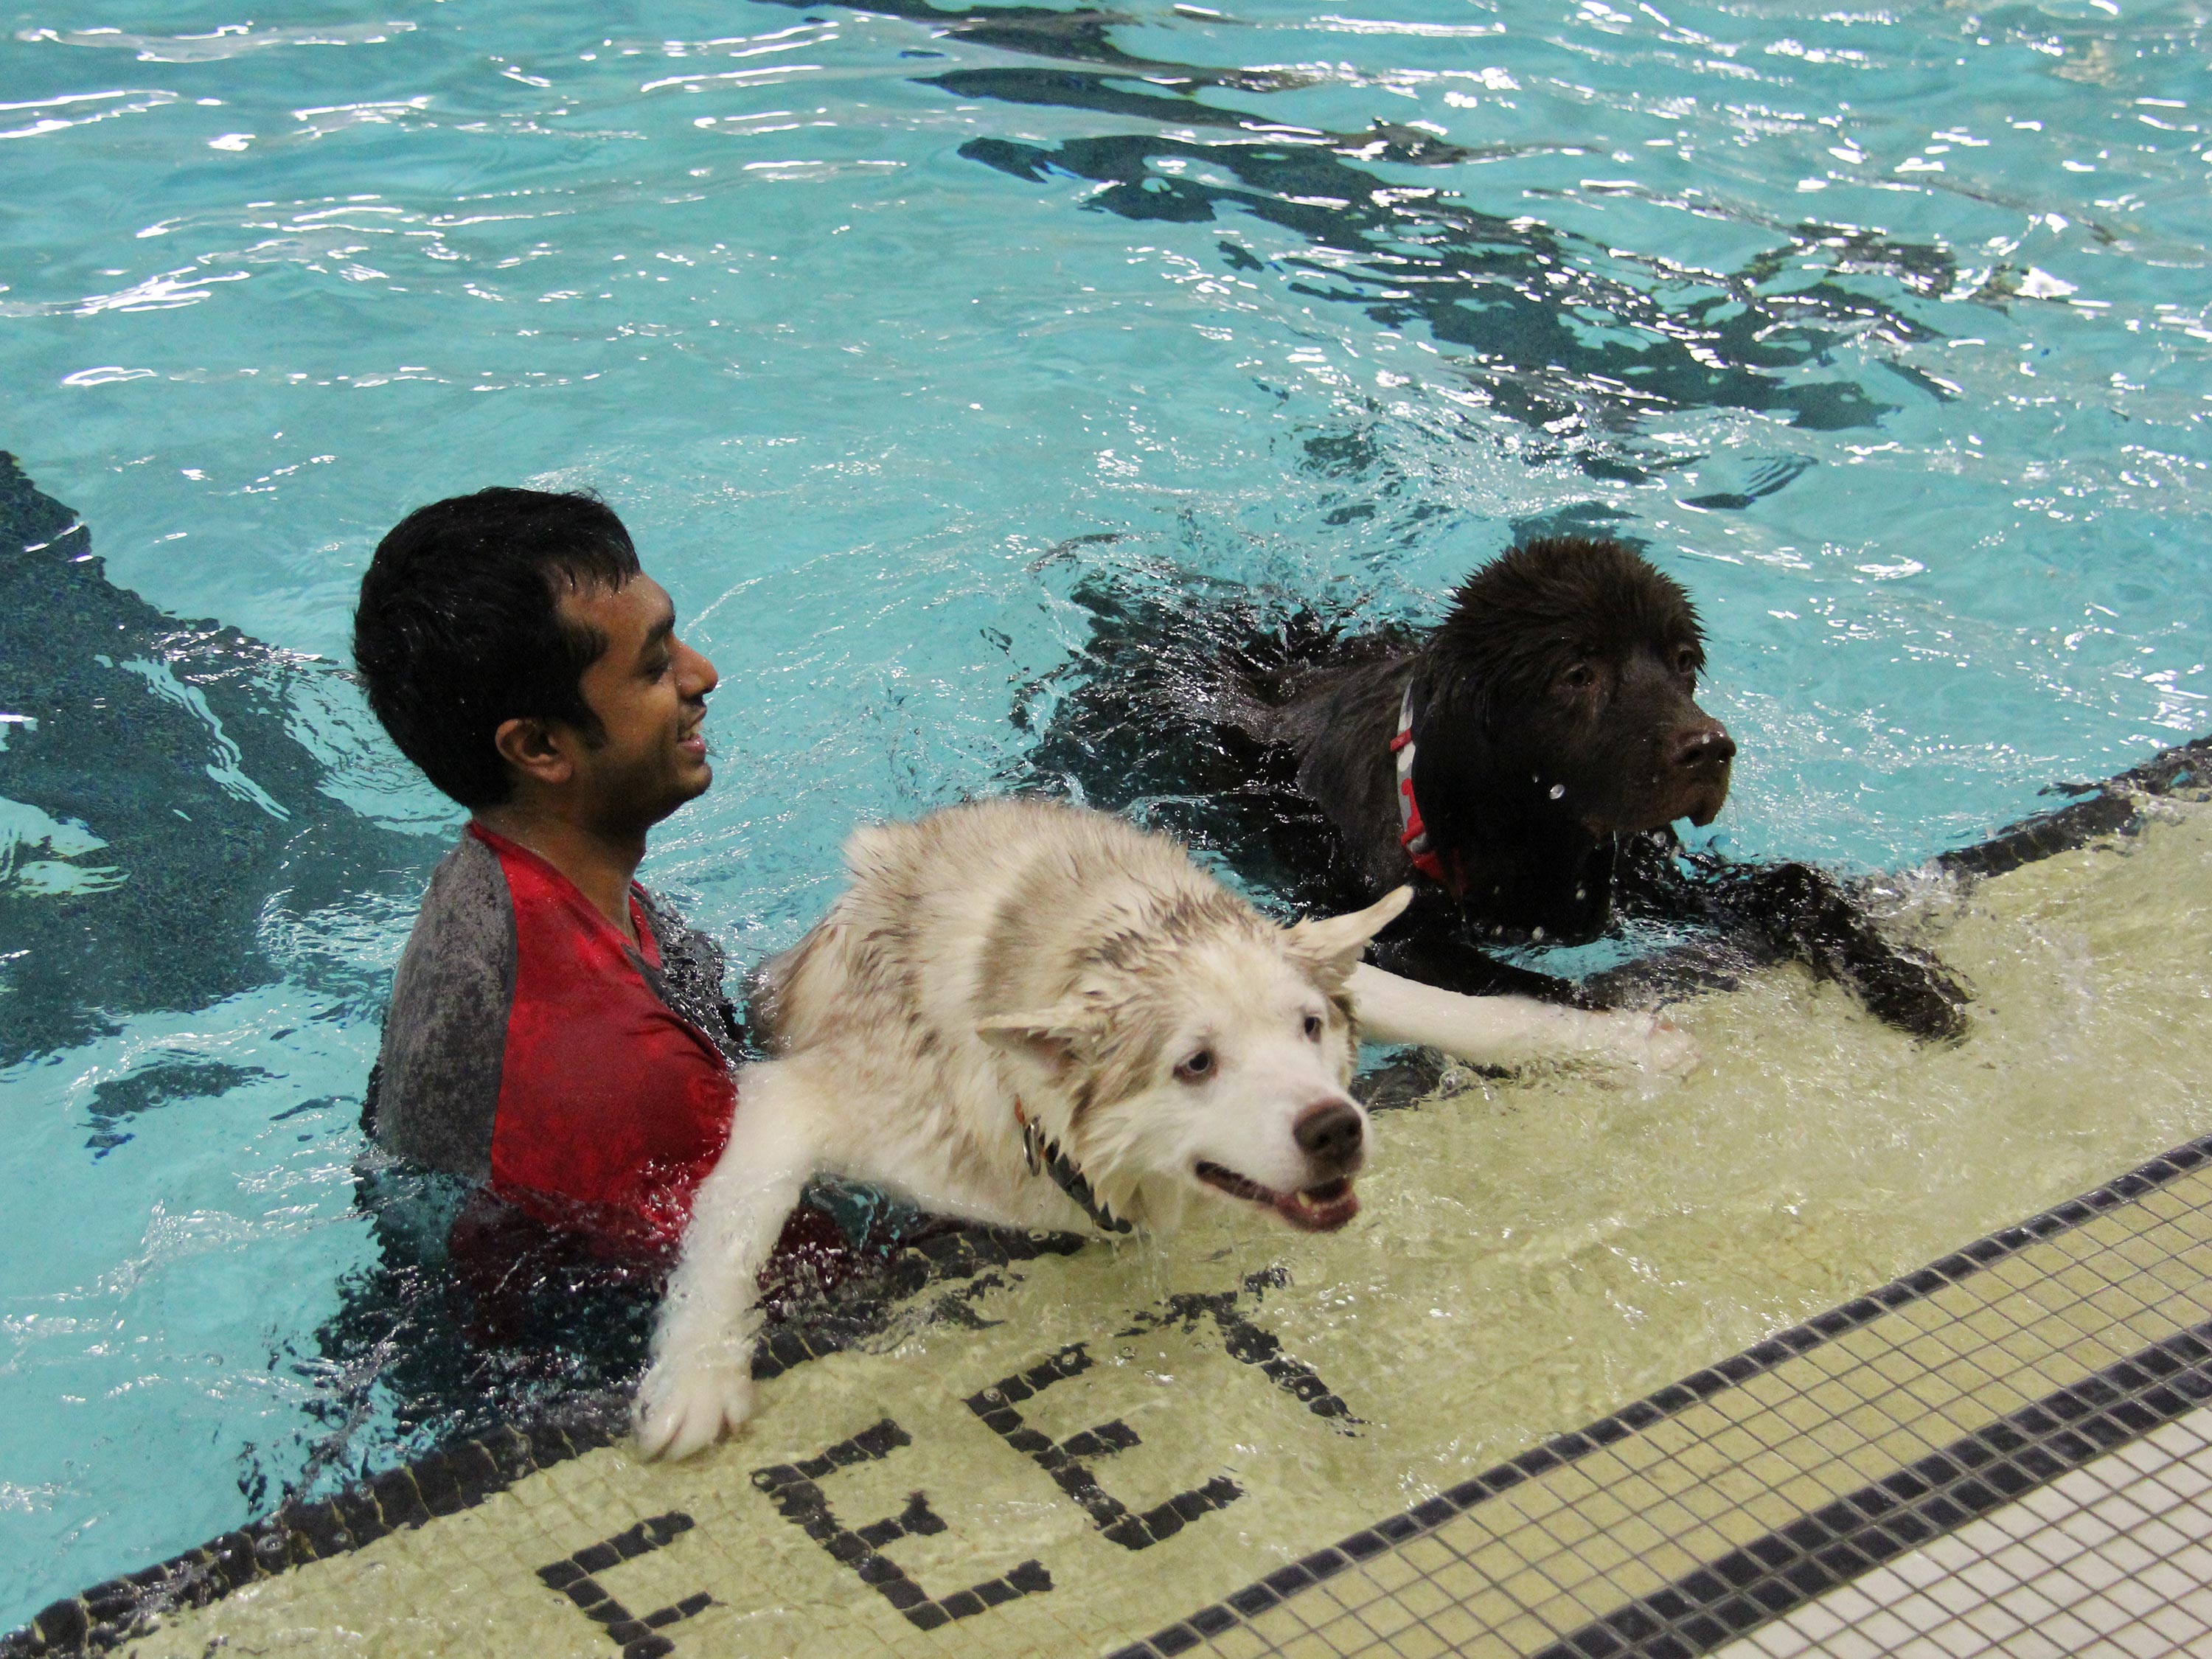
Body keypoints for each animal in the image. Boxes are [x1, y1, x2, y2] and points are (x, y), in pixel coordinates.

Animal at [641, 801, 1690, 1460]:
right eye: (1196, 1064)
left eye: (1309, 1029)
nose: (1335, 1130)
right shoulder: (810, 1103)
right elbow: (732, 1230)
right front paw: (694, 1380)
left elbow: (1468, 1012)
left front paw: (1616, 1043)